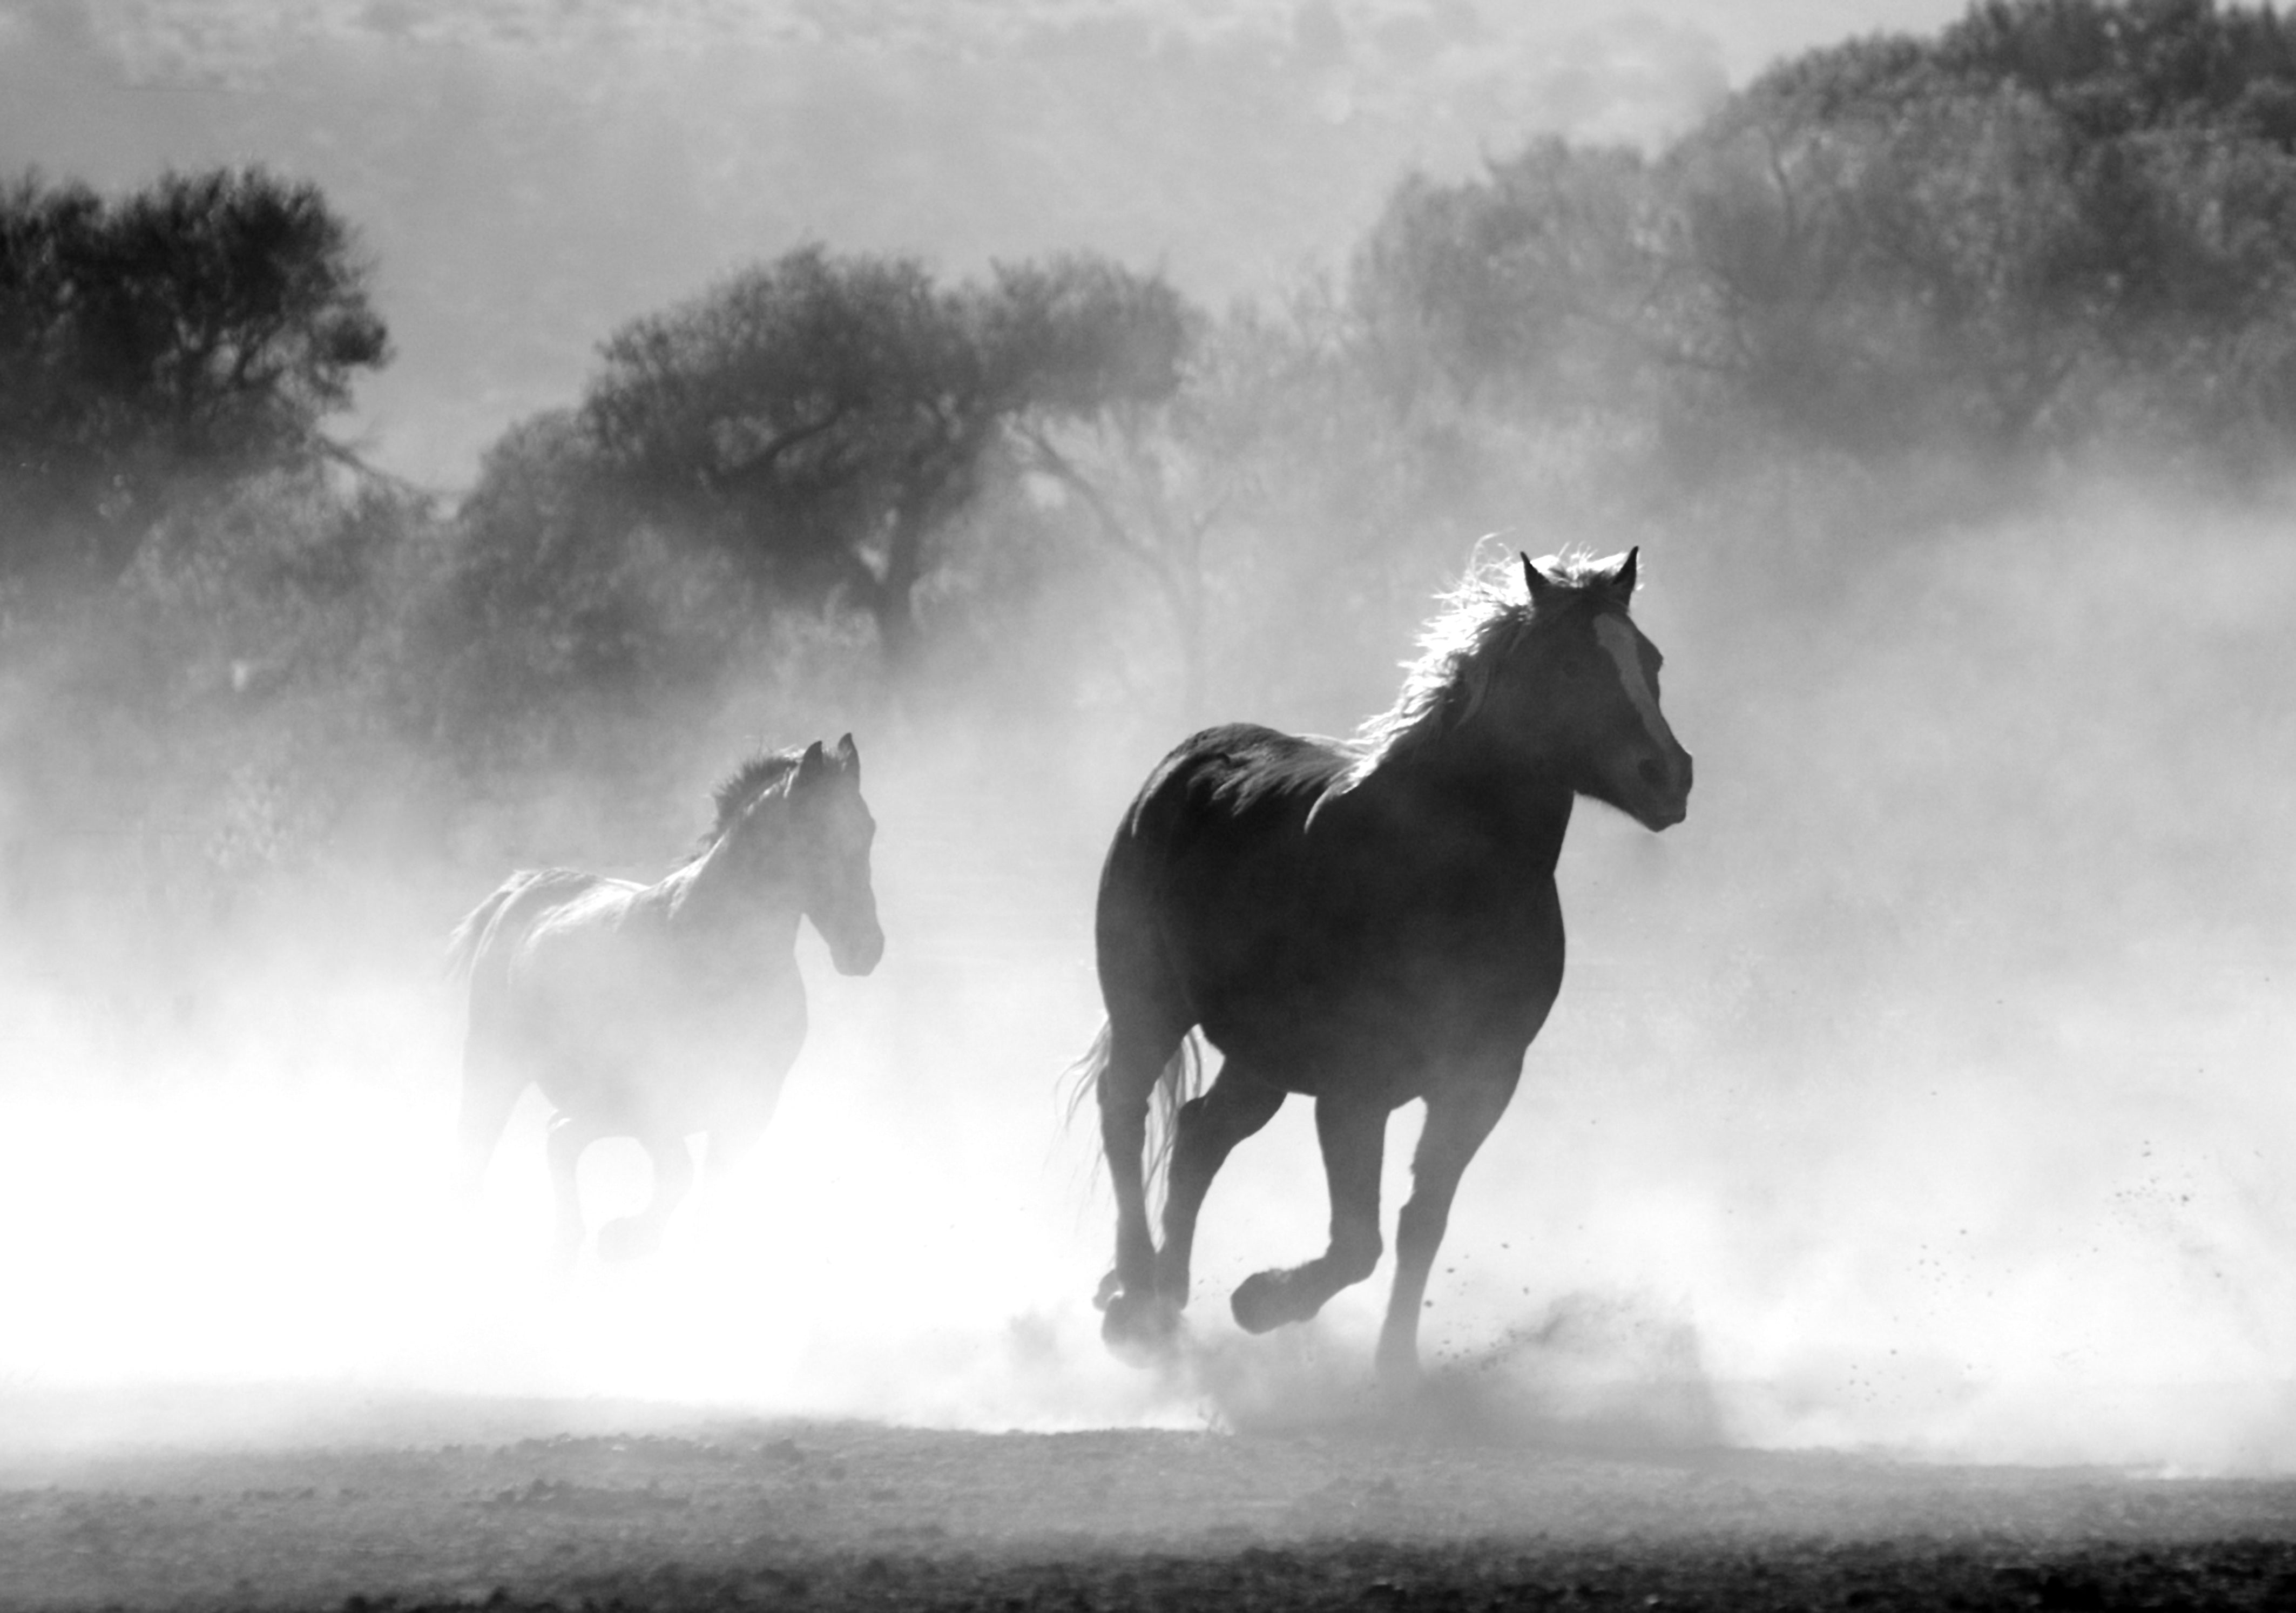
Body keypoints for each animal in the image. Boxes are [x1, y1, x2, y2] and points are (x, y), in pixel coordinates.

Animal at [448, 734, 883, 1265]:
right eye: (815, 834)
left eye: (868, 829)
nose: (865, 949)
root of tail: (521, 889)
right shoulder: (653, 1100)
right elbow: (678, 1173)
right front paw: (626, 1239)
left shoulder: (747, 1108)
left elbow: (706, 1205)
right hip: (495, 1064)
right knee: (481, 1155)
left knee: (559, 1137)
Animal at [1079, 548, 1691, 1382]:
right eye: (1571, 664)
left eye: (1650, 659)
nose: (1669, 775)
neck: (1443, 873)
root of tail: (1181, 764)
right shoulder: (1354, 1089)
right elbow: (1357, 1242)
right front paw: (1263, 1300)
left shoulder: (1481, 1080)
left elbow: (1419, 1222)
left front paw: (1394, 1366)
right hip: (1150, 1007)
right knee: (1124, 1112)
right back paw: (1137, 1298)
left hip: (1261, 1058)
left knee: (1200, 1133)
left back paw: (1168, 1298)